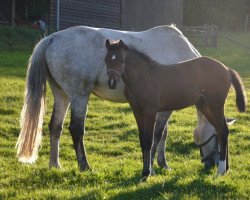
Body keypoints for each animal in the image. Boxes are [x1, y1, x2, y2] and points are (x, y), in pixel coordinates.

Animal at [15, 25, 219, 173]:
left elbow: (163, 134)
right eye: (217, 136)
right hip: (79, 95)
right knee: (76, 129)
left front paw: (162, 164)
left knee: (55, 127)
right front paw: (153, 166)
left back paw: (55, 165)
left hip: (62, 95)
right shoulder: (162, 109)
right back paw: (84, 165)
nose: (214, 164)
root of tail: (52, 38)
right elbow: (157, 134)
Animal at [105, 38, 246, 180]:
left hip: (215, 105)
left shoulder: (150, 111)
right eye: (106, 60)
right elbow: (142, 140)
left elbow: (150, 140)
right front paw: (144, 172)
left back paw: (221, 170)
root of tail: (227, 69)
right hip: (205, 106)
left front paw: (148, 173)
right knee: (220, 130)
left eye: (121, 60)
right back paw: (224, 169)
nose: (111, 83)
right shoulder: (137, 111)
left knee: (223, 130)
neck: (143, 77)